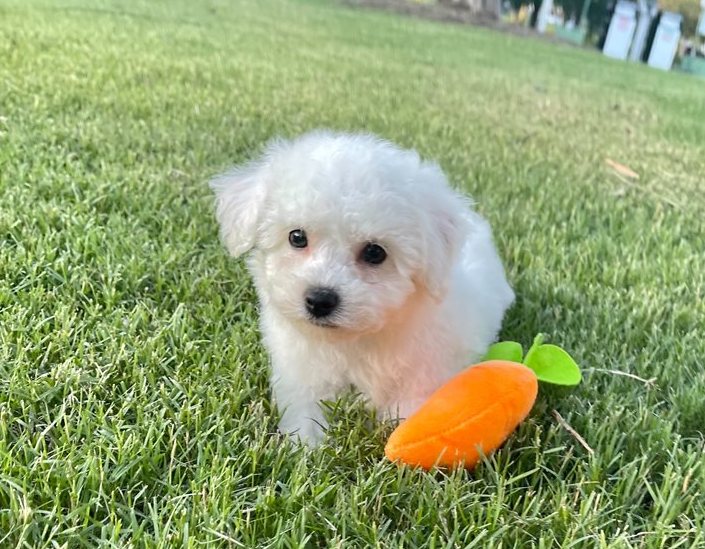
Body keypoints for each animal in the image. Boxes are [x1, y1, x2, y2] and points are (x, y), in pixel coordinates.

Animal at [209, 132, 512, 446]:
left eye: (375, 253)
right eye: (297, 237)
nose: (319, 300)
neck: (355, 339)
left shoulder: (425, 372)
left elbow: (409, 413)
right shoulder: (301, 369)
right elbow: (305, 409)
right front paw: (305, 447)